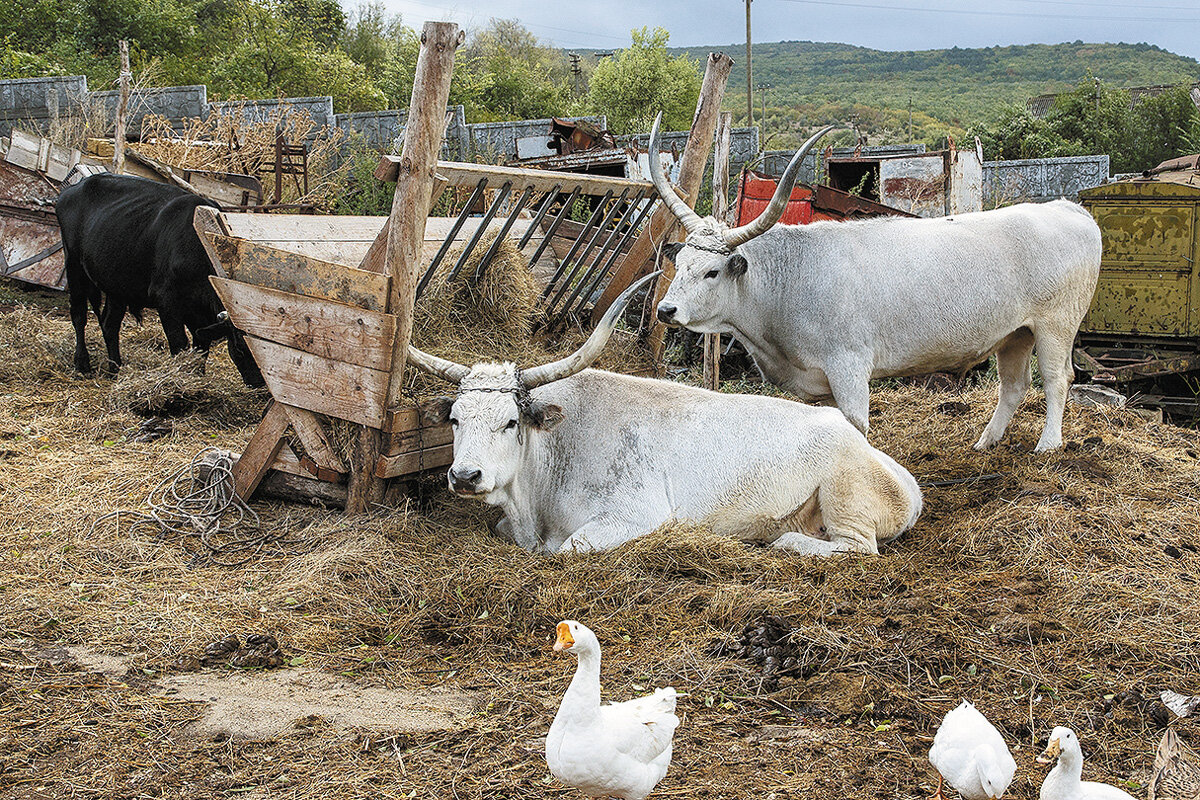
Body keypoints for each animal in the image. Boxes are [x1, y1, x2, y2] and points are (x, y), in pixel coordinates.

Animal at [55, 175, 262, 388]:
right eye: (240, 348)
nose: (259, 383)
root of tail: (75, 187)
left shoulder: (198, 312)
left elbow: (200, 349)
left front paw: (196, 378)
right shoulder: (167, 300)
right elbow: (179, 344)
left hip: (116, 284)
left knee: (109, 324)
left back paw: (115, 369)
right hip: (73, 266)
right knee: (79, 315)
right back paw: (82, 364)